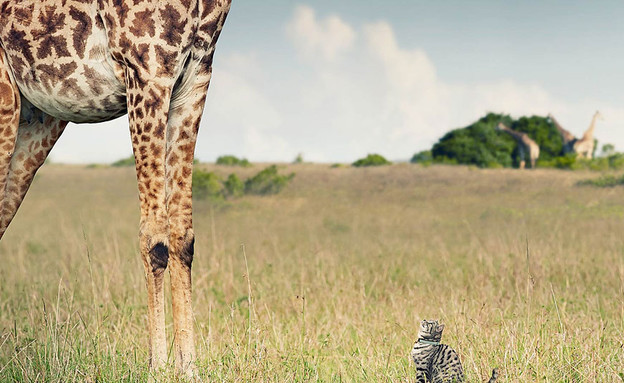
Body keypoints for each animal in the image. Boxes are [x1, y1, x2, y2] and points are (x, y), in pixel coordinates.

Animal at [0, 0, 233, 378]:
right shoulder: (146, 67)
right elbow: (154, 239)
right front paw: (157, 369)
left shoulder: (196, 77)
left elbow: (183, 237)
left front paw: (189, 371)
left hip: (36, 119)